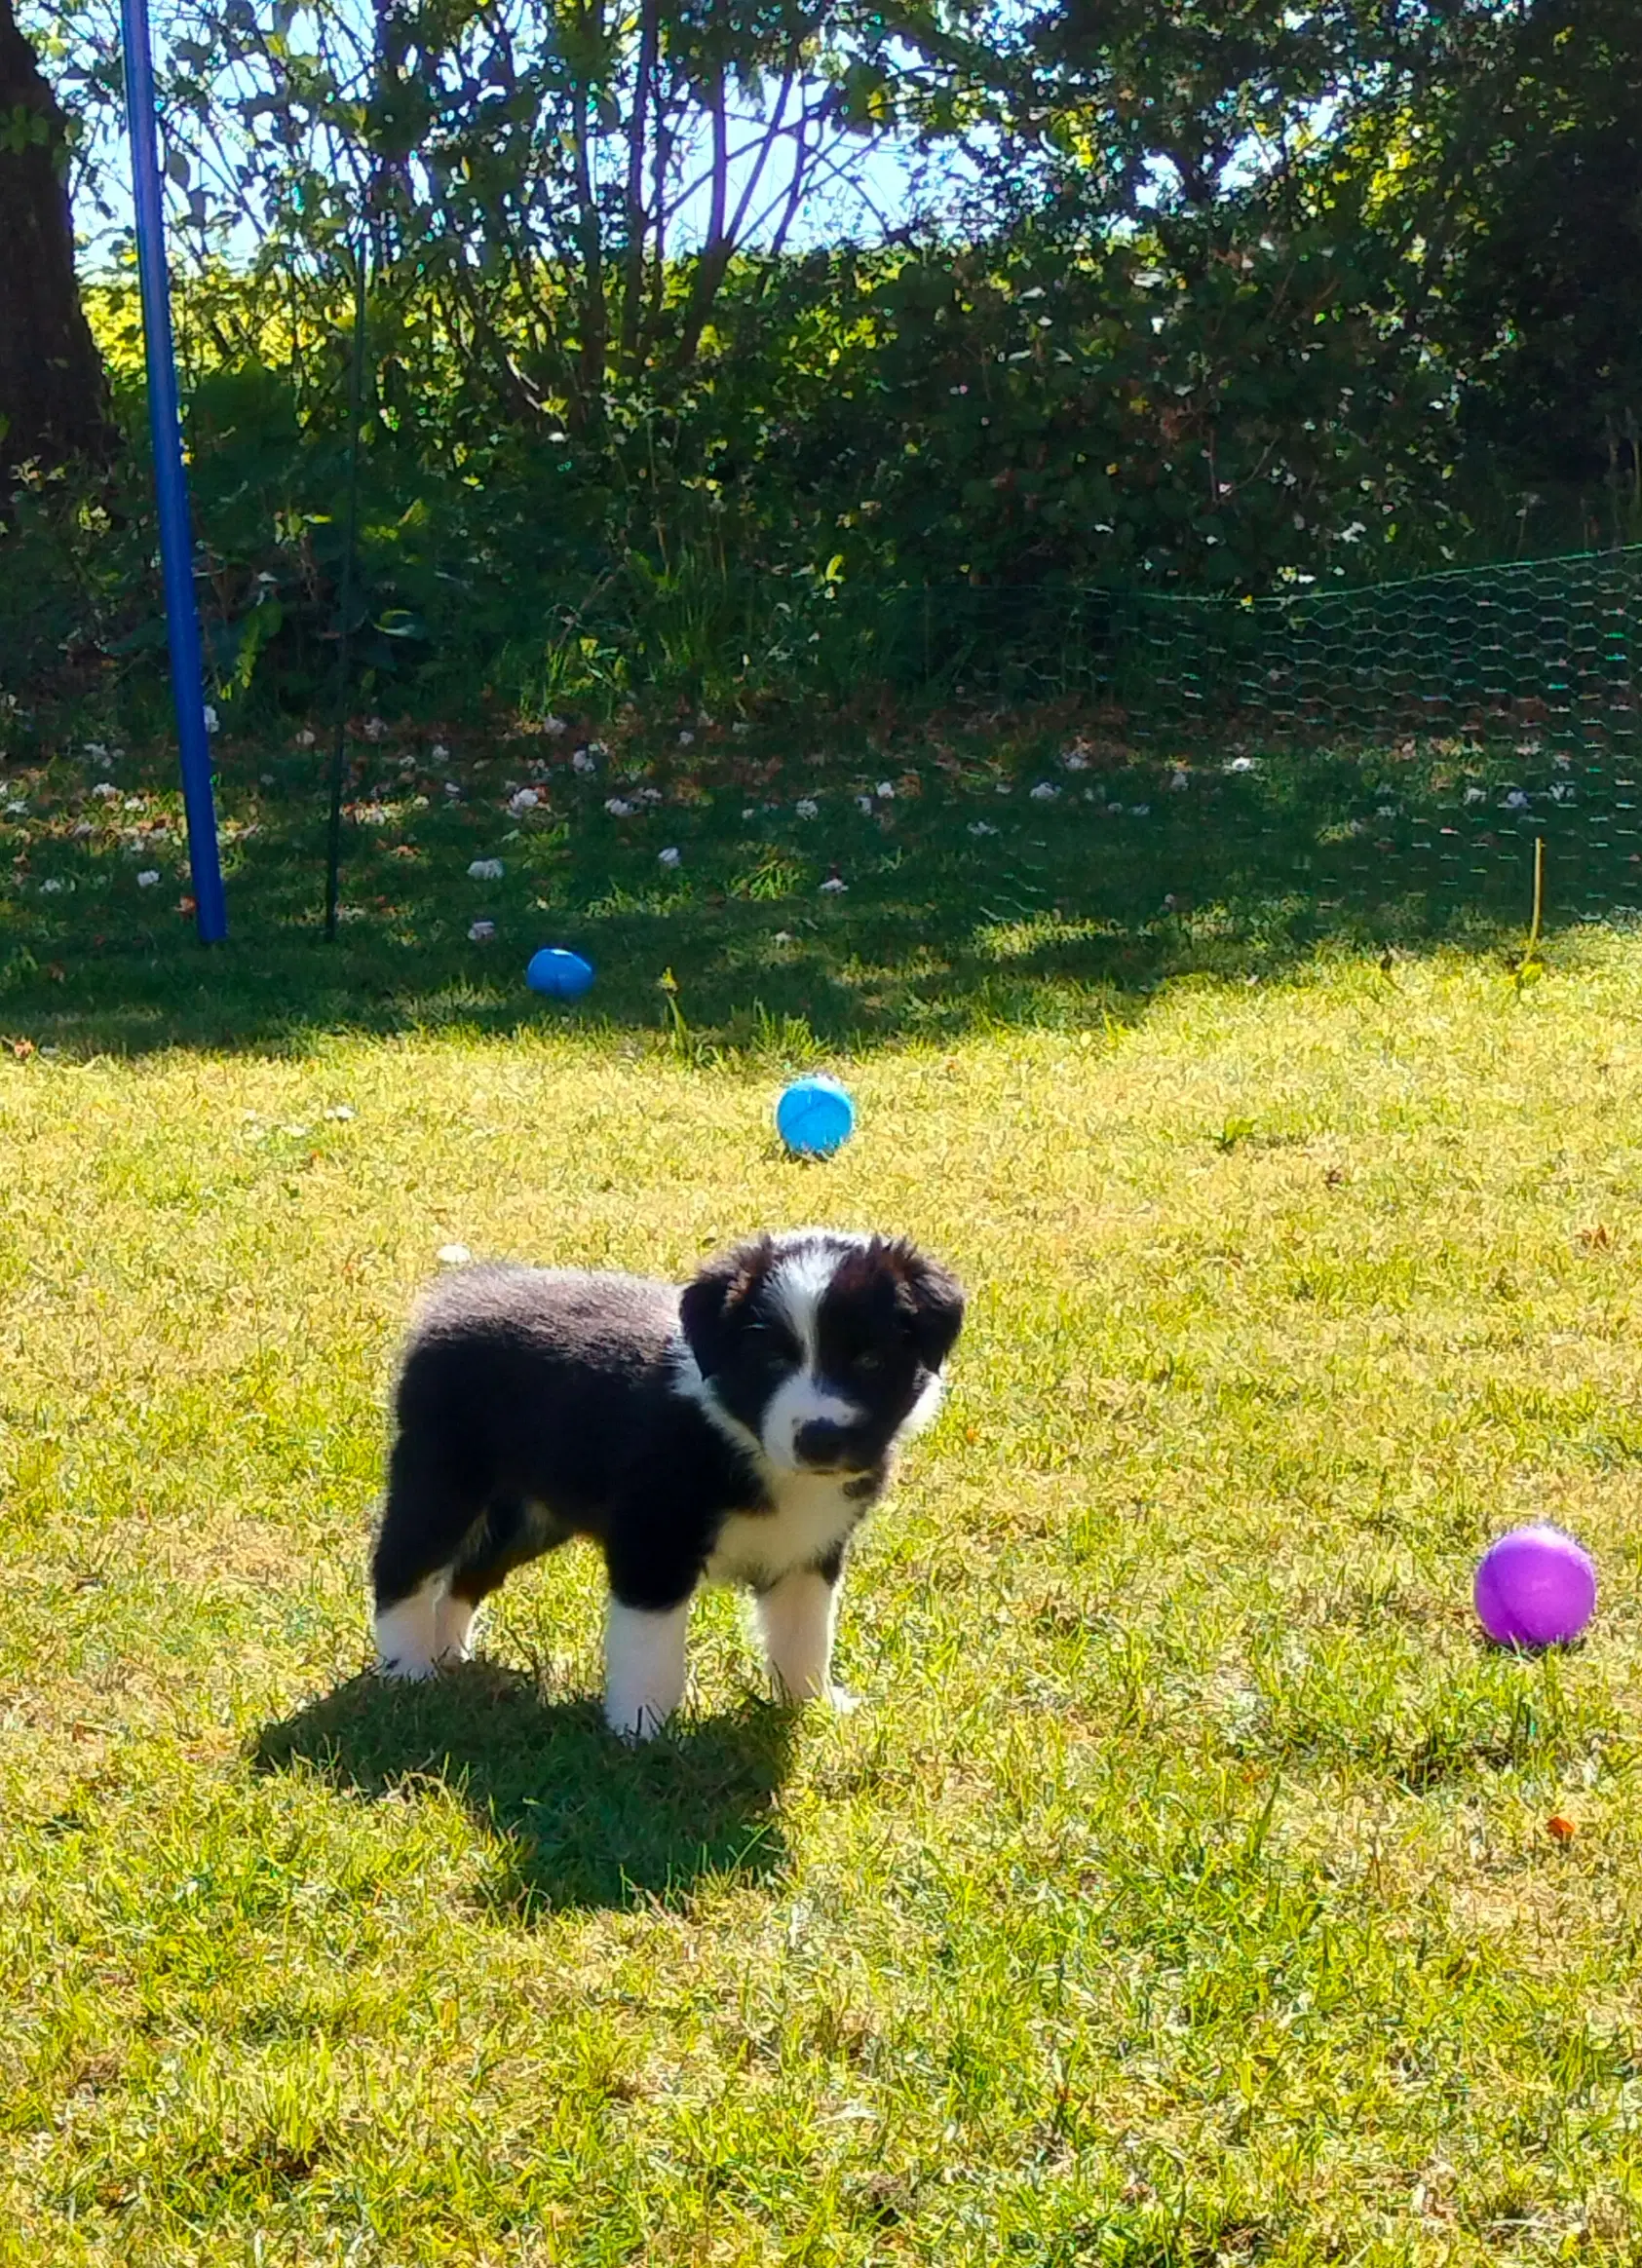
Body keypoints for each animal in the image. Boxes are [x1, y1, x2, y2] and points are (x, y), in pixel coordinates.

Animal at [371, 1225, 961, 1732]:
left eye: (869, 1360)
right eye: (771, 1360)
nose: (819, 1438)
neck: (744, 1442)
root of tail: (455, 1298)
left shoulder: (811, 1550)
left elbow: (805, 1634)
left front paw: (811, 1706)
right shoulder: (652, 1539)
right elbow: (649, 1645)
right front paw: (640, 1731)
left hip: (529, 1516)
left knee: (465, 1576)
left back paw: (449, 1656)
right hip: (443, 1477)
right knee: (403, 1566)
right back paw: (408, 1670)